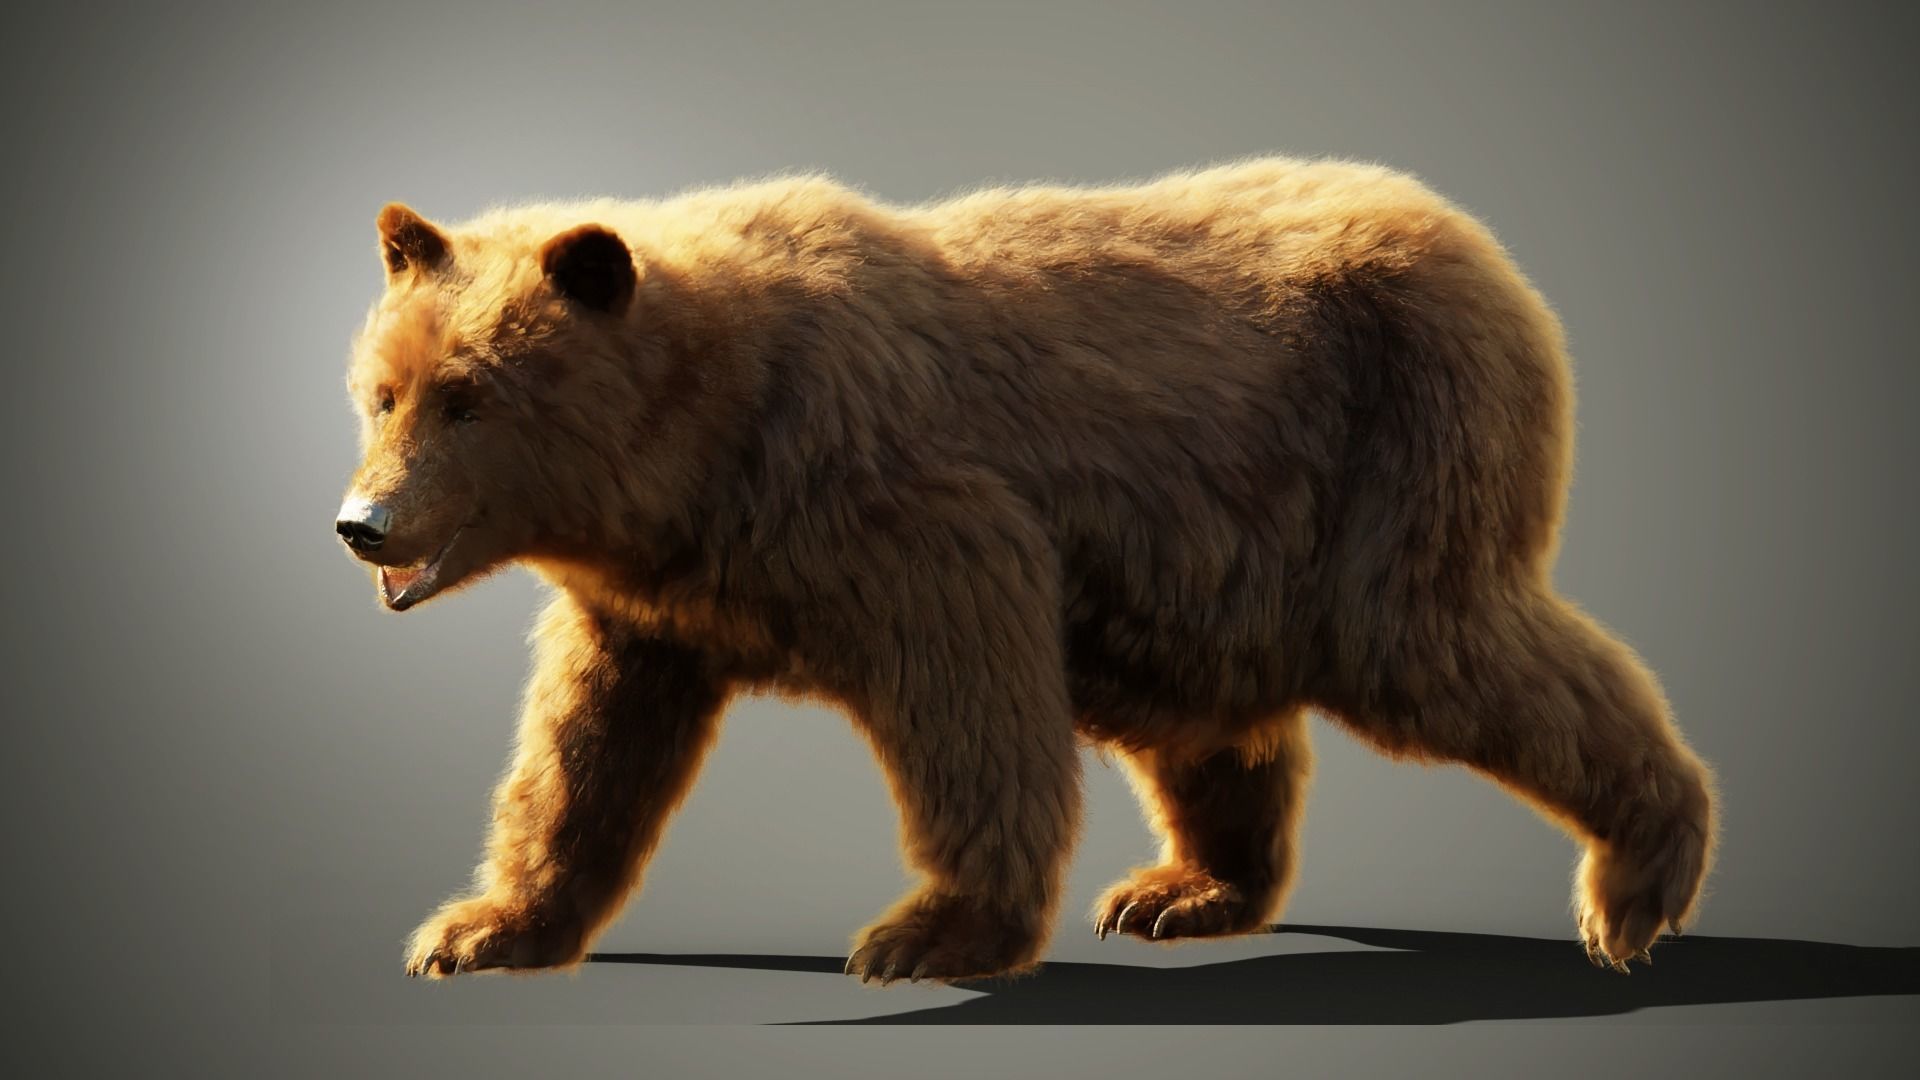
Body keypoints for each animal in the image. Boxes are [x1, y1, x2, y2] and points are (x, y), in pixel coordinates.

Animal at [336, 157, 1717, 984]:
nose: (364, 523)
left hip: (1396, 452)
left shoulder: (904, 511)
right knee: (1218, 724)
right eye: (381, 391)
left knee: (1447, 646)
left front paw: (923, 931)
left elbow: (974, 699)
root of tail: (1482, 247)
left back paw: (1636, 887)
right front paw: (476, 926)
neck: (706, 448)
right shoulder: (655, 602)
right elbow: (584, 754)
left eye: (470, 397)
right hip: (1215, 575)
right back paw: (1183, 892)